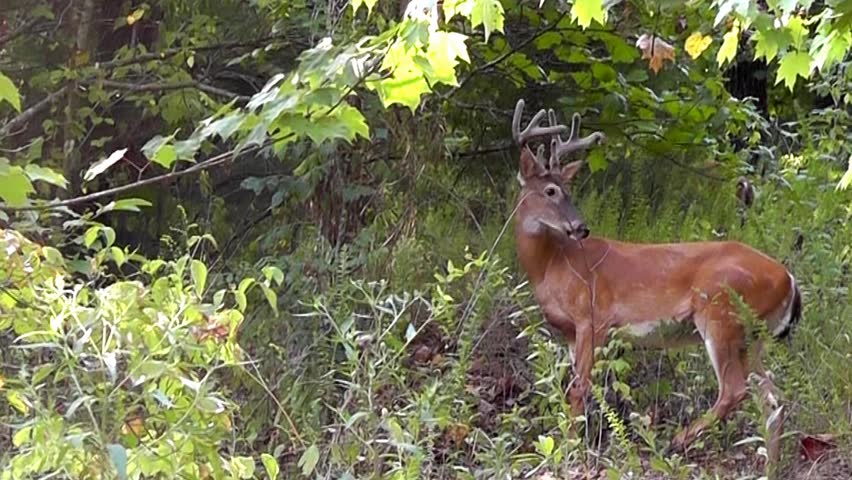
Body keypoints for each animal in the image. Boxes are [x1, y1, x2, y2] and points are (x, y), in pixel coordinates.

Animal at [510, 98, 802, 450]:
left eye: (566, 189)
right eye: (552, 191)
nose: (580, 227)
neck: (552, 264)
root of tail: (789, 279)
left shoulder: (593, 318)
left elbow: (579, 389)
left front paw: (569, 447)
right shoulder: (569, 332)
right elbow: (579, 388)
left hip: (721, 315)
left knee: (736, 390)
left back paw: (676, 440)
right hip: (754, 335)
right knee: (772, 397)